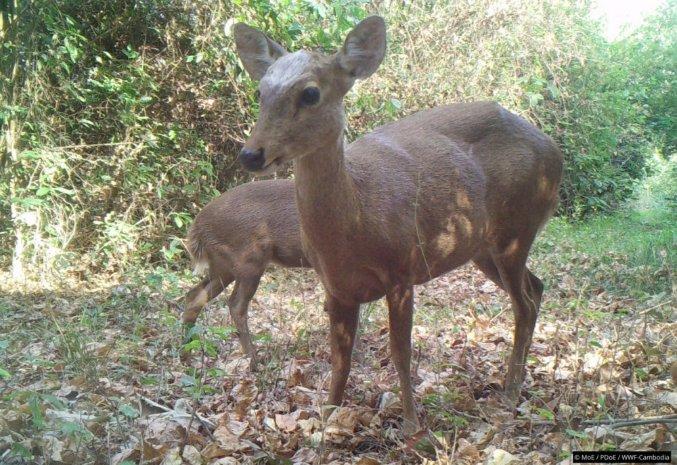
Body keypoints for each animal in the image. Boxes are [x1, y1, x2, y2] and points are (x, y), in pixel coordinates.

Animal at [183, 179, 310, 368]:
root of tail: (197, 228)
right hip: (249, 259)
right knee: (236, 304)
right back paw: (254, 360)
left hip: (223, 266)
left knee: (194, 296)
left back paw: (186, 355)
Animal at [232, 16, 563, 434]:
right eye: (260, 91)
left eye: (310, 93)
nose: (251, 154)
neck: (354, 224)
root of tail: (555, 150)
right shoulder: (335, 287)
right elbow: (340, 358)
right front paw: (326, 419)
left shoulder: (402, 269)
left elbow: (400, 352)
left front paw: (412, 427)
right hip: (483, 247)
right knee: (537, 288)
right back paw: (514, 383)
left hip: (517, 229)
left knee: (524, 303)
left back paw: (510, 392)